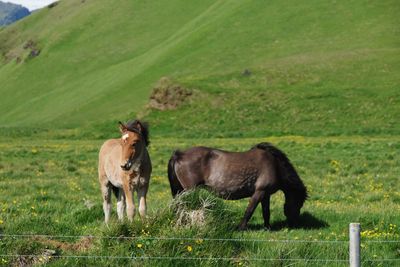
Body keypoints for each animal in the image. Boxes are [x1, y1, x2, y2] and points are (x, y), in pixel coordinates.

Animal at [167, 142, 308, 230]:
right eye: (299, 203)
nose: (295, 224)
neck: (275, 165)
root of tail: (179, 155)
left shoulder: (265, 194)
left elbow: (266, 212)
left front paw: (267, 228)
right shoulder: (259, 192)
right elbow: (249, 211)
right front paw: (241, 228)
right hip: (189, 190)